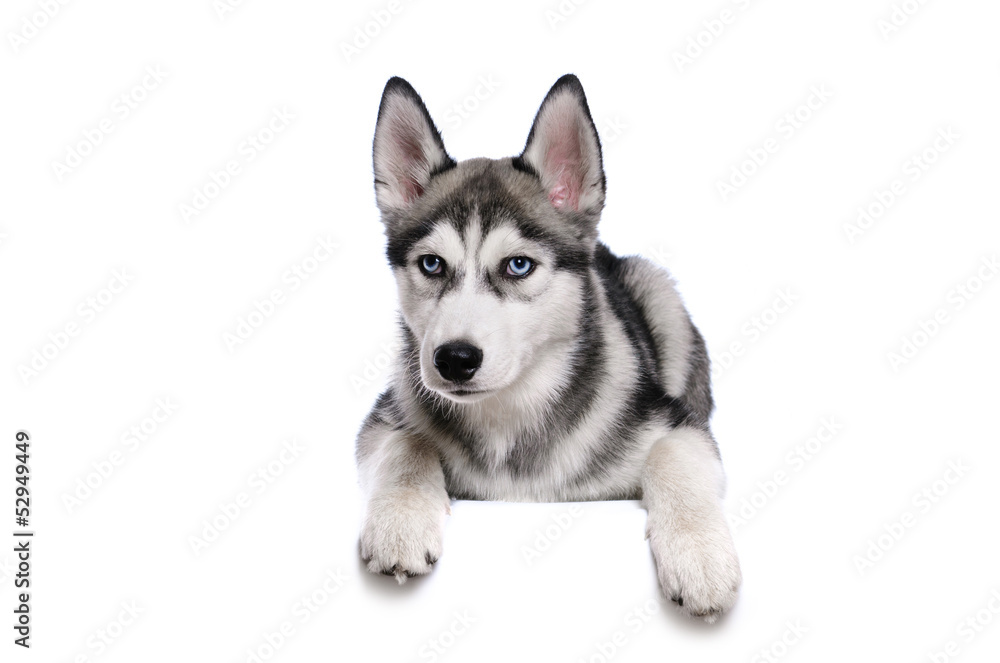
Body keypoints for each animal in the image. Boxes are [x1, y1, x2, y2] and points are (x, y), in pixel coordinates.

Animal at [360, 74, 744, 624]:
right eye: (432, 264)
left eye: (518, 265)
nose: (454, 359)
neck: (509, 415)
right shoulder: (384, 414)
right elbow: (408, 443)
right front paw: (400, 525)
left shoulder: (676, 423)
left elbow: (673, 454)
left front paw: (700, 558)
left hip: (656, 288)